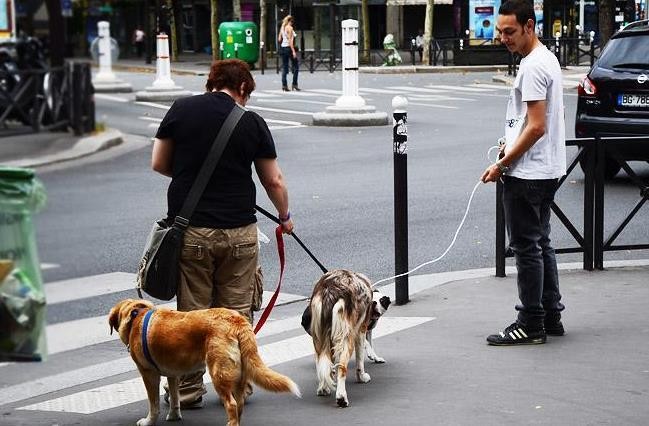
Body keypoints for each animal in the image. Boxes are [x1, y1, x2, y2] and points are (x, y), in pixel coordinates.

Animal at [107, 300, 300, 426]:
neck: (137, 315)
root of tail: (236, 320)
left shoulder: (148, 374)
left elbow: (153, 404)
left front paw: (148, 421)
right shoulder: (173, 374)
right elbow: (175, 397)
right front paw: (174, 415)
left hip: (218, 374)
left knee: (231, 405)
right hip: (240, 375)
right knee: (239, 404)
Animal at [306, 272, 390, 408]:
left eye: (382, 301)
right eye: (379, 302)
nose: (374, 304)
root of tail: (330, 288)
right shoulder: (360, 331)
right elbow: (360, 360)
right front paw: (362, 377)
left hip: (318, 338)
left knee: (321, 363)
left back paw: (323, 389)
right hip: (346, 339)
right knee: (342, 368)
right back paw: (341, 398)